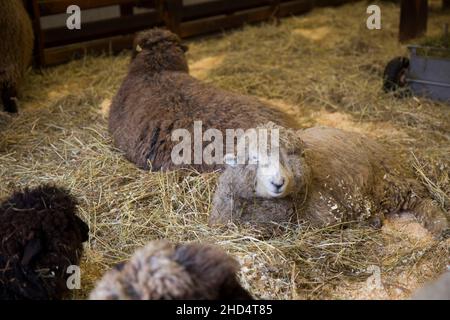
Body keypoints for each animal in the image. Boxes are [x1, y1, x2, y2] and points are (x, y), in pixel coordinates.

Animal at [209, 122, 448, 235]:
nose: (278, 183)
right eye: (254, 158)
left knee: (420, 198)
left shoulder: (327, 213)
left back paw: (440, 224)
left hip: (390, 182)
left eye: (289, 156)